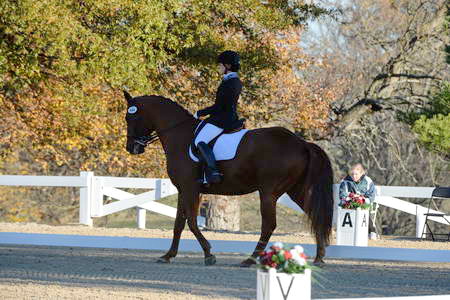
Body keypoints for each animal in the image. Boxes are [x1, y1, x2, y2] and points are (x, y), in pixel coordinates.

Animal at [123, 92, 334, 268]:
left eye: (130, 117)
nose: (132, 148)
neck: (179, 135)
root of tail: (302, 143)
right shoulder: (183, 190)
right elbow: (178, 224)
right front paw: (168, 255)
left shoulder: (190, 189)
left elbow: (191, 222)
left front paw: (209, 254)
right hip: (296, 190)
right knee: (315, 216)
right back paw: (319, 258)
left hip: (269, 192)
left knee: (269, 225)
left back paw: (250, 259)